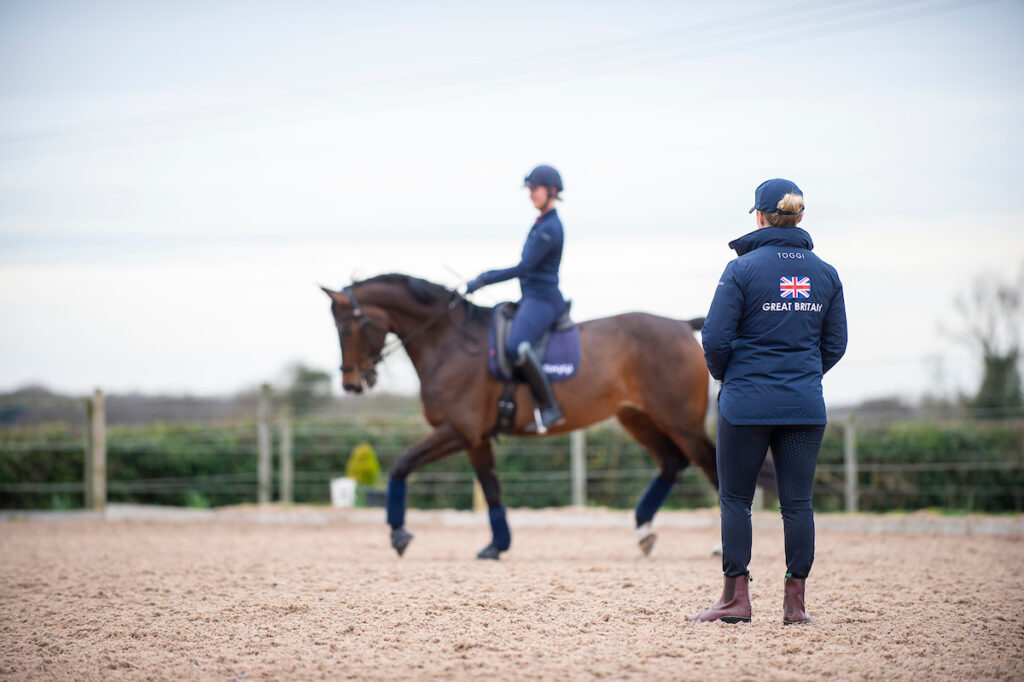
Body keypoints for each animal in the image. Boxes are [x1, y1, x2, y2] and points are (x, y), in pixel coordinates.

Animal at [322, 274, 717, 559]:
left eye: (348, 328)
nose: (351, 383)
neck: (449, 342)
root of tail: (680, 324)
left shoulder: (457, 430)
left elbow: (401, 465)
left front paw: (398, 533)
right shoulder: (476, 438)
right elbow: (491, 489)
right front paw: (496, 545)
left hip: (680, 421)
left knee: (710, 463)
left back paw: (717, 547)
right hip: (638, 418)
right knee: (672, 462)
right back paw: (643, 530)